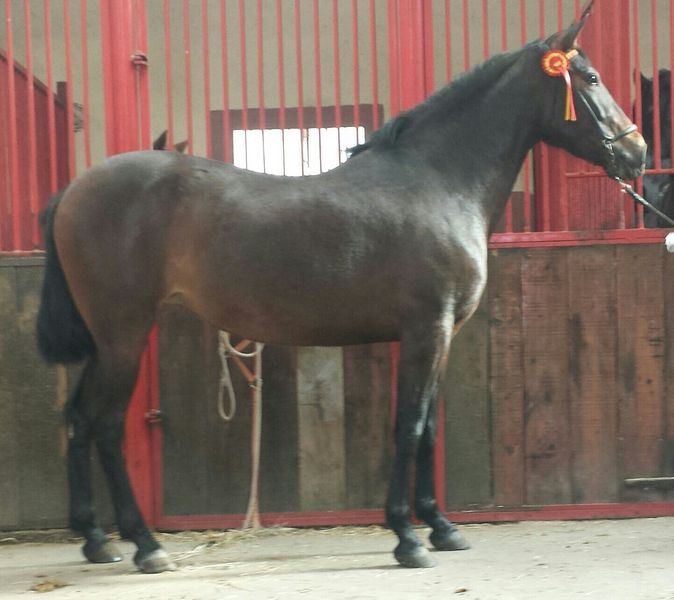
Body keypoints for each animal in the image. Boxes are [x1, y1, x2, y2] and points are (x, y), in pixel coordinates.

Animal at [36, 4, 645, 573]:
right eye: (591, 78)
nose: (636, 153)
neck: (439, 182)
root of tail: (73, 191)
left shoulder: (443, 337)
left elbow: (428, 429)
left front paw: (442, 528)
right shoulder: (425, 331)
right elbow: (409, 426)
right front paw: (406, 538)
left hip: (104, 341)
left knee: (78, 419)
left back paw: (96, 540)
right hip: (124, 335)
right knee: (106, 426)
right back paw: (146, 545)